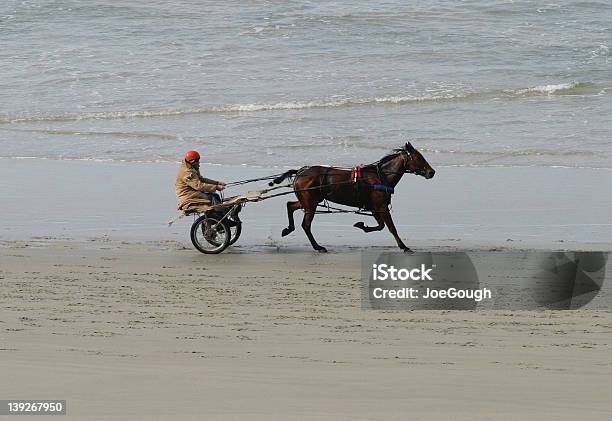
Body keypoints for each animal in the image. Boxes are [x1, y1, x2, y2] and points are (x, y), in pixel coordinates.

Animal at [268, 141, 436, 253]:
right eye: (418, 158)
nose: (431, 172)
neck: (380, 177)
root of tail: (300, 172)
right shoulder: (381, 206)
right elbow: (391, 228)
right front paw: (404, 247)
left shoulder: (375, 207)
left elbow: (381, 226)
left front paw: (361, 225)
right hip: (310, 203)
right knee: (306, 225)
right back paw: (318, 246)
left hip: (309, 201)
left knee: (290, 205)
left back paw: (288, 229)